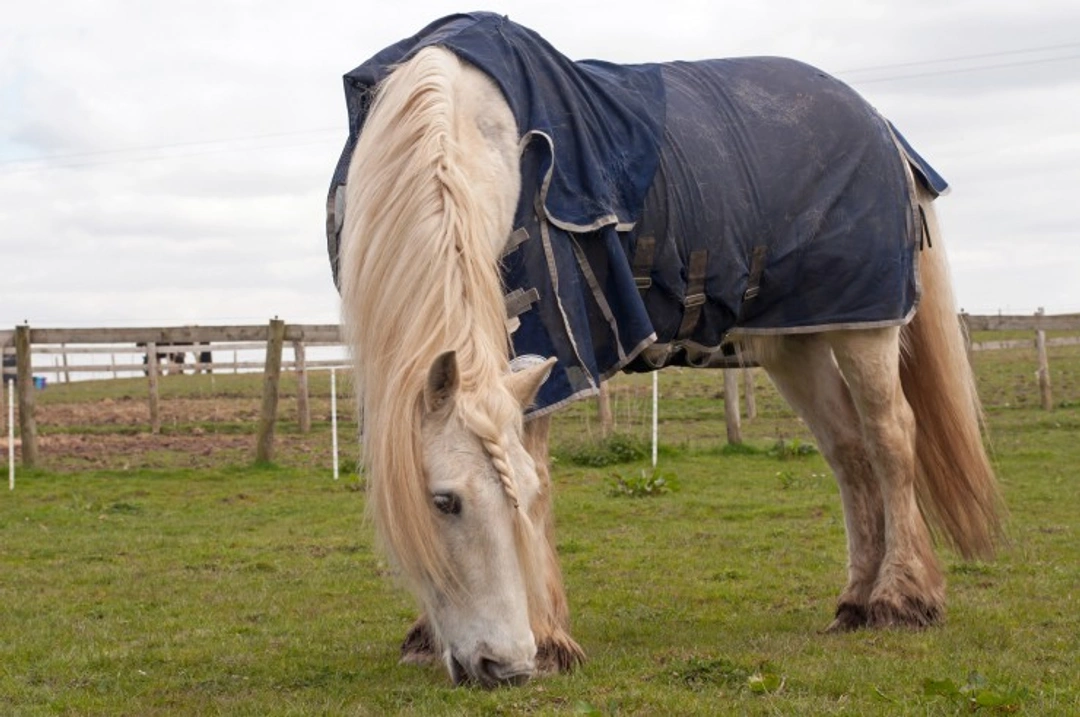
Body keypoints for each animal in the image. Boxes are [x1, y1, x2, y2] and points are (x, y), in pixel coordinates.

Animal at [330, 13, 1003, 688]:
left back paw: (900, 598)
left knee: (891, 437)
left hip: (865, 325)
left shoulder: (556, 353)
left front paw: (550, 638)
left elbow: (539, 464)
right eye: (445, 501)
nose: (506, 663)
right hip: (797, 341)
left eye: (519, 494)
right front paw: (430, 636)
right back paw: (856, 602)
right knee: (848, 450)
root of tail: (883, 128)